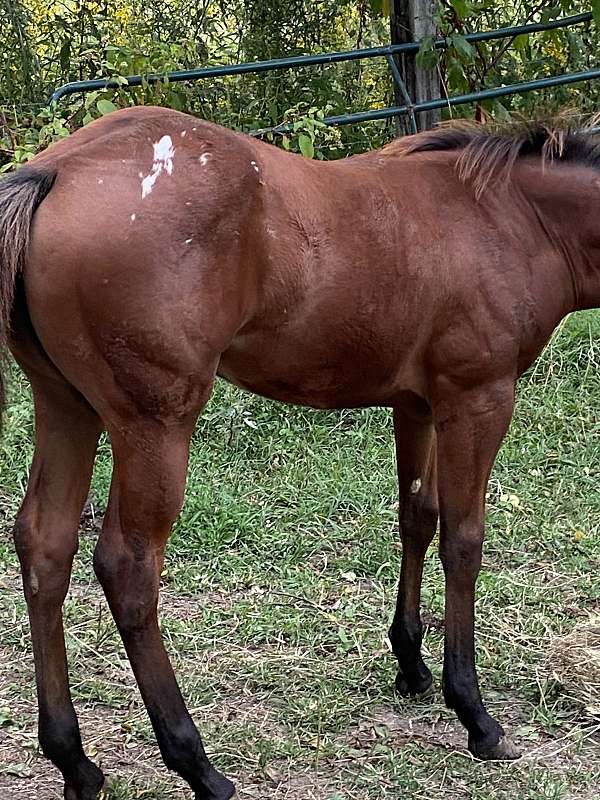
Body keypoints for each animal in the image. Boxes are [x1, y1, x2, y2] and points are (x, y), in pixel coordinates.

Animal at [0, 106, 596, 800]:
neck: (512, 216)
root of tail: (56, 171)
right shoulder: (478, 400)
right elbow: (463, 541)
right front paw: (474, 713)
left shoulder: (418, 405)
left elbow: (417, 519)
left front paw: (412, 664)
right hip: (154, 425)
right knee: (128, 567)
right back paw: (197, 764)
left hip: (67, 406)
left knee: (45, 546)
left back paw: (74, 762)